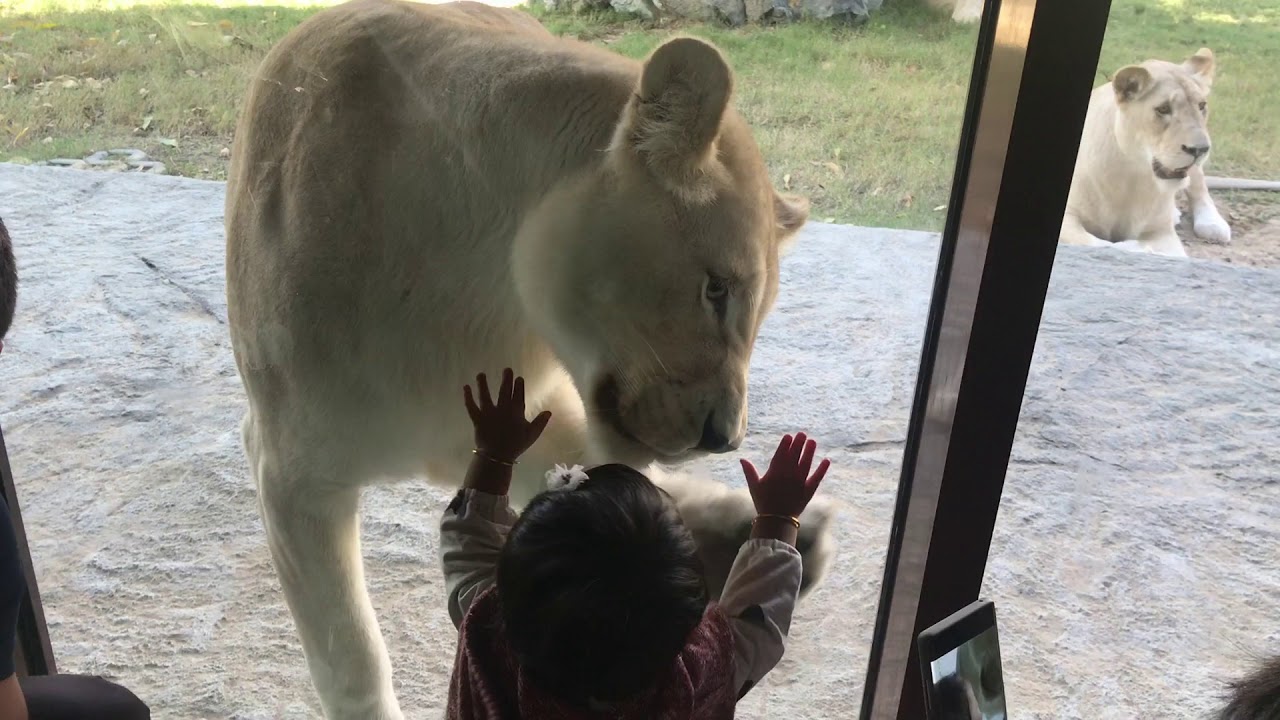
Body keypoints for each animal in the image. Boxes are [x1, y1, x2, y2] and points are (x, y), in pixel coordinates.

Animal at [1059, 47, 1228, 256]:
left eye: (1202, 106)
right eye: (1163, 109)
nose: (1200, 149)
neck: (1133, 174)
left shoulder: (1164, 234)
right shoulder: (1069, 216)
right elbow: (1098, 244)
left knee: (1199, 187)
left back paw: (1213, 224)